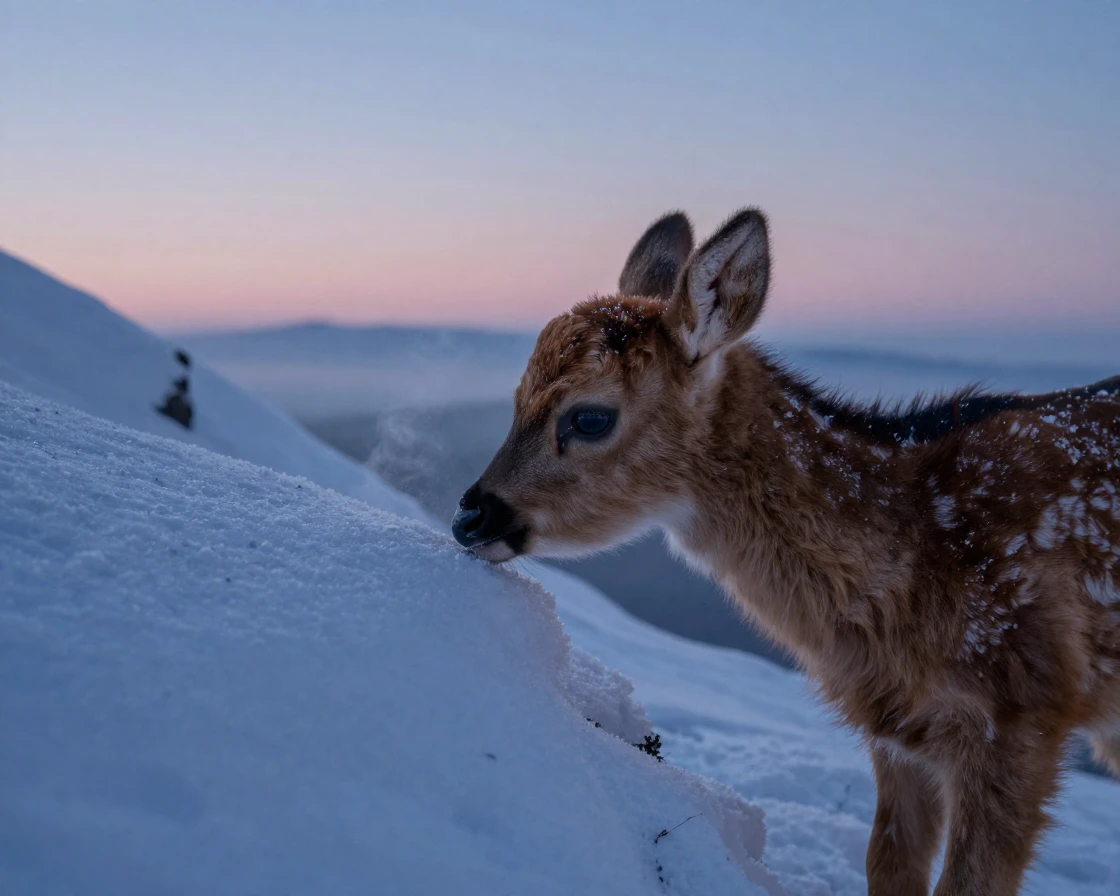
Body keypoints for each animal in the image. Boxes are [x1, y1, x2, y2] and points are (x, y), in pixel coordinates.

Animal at [450, 208, 1120, 895]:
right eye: (516, 399)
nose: (469, 516)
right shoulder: (898, 733)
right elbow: (887, 865)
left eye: (589, 418)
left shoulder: (1022, 714)